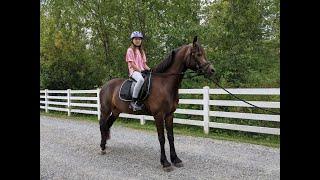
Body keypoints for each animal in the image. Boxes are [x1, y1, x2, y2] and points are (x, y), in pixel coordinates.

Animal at [99, 35, 216, 171]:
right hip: (105, 110)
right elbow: (162, 138)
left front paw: (175, 159)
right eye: (198, 54)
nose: (212, 70)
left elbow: (171, 137)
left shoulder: (170, 115)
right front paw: (165, 163)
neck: (165, 83)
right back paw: (102, 147)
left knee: (107, 126)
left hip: (116, 112)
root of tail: (104, 86)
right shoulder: (158, 115)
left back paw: (105, 144)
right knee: (102, 125)